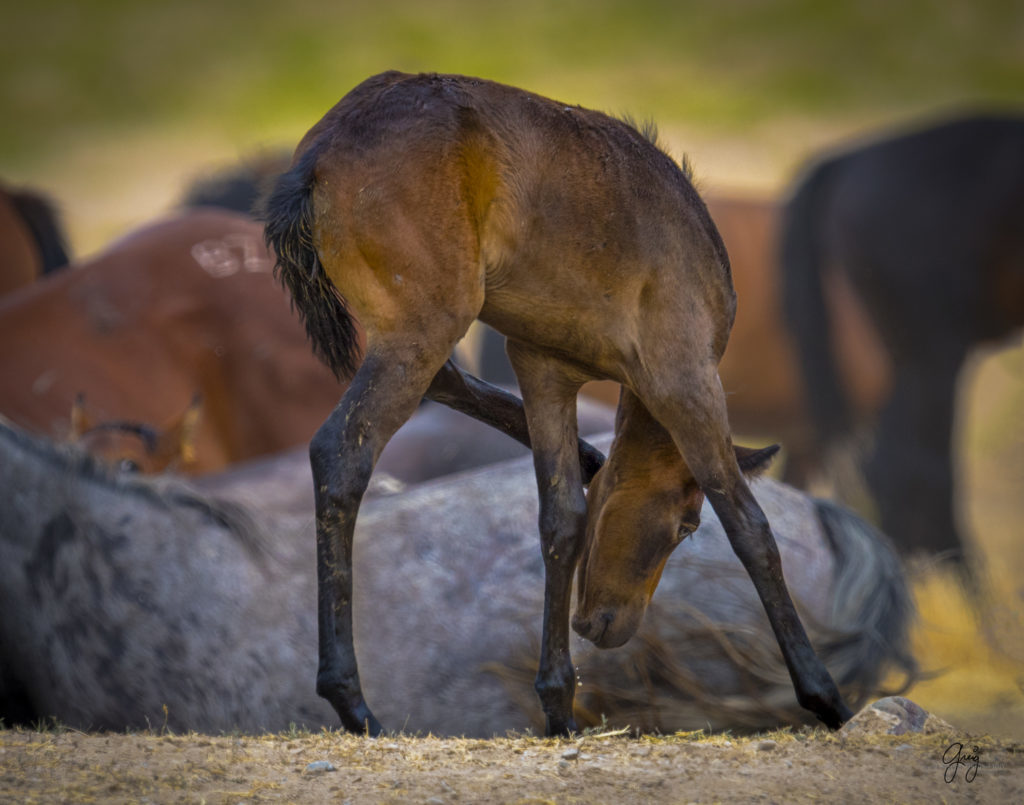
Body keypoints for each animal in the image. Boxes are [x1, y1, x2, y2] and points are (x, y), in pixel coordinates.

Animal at [262, 70, 847, 733]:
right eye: (686, 525)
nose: (605, 625)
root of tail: (318, 156)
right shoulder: (684, 376)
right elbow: (751, 526)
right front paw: (822, 691)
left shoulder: (543, 367)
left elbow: (562, 516)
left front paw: (558, 699)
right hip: (427, 321)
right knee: (340, 453)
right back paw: (351, 698)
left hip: (421, 325)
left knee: (439, 385)